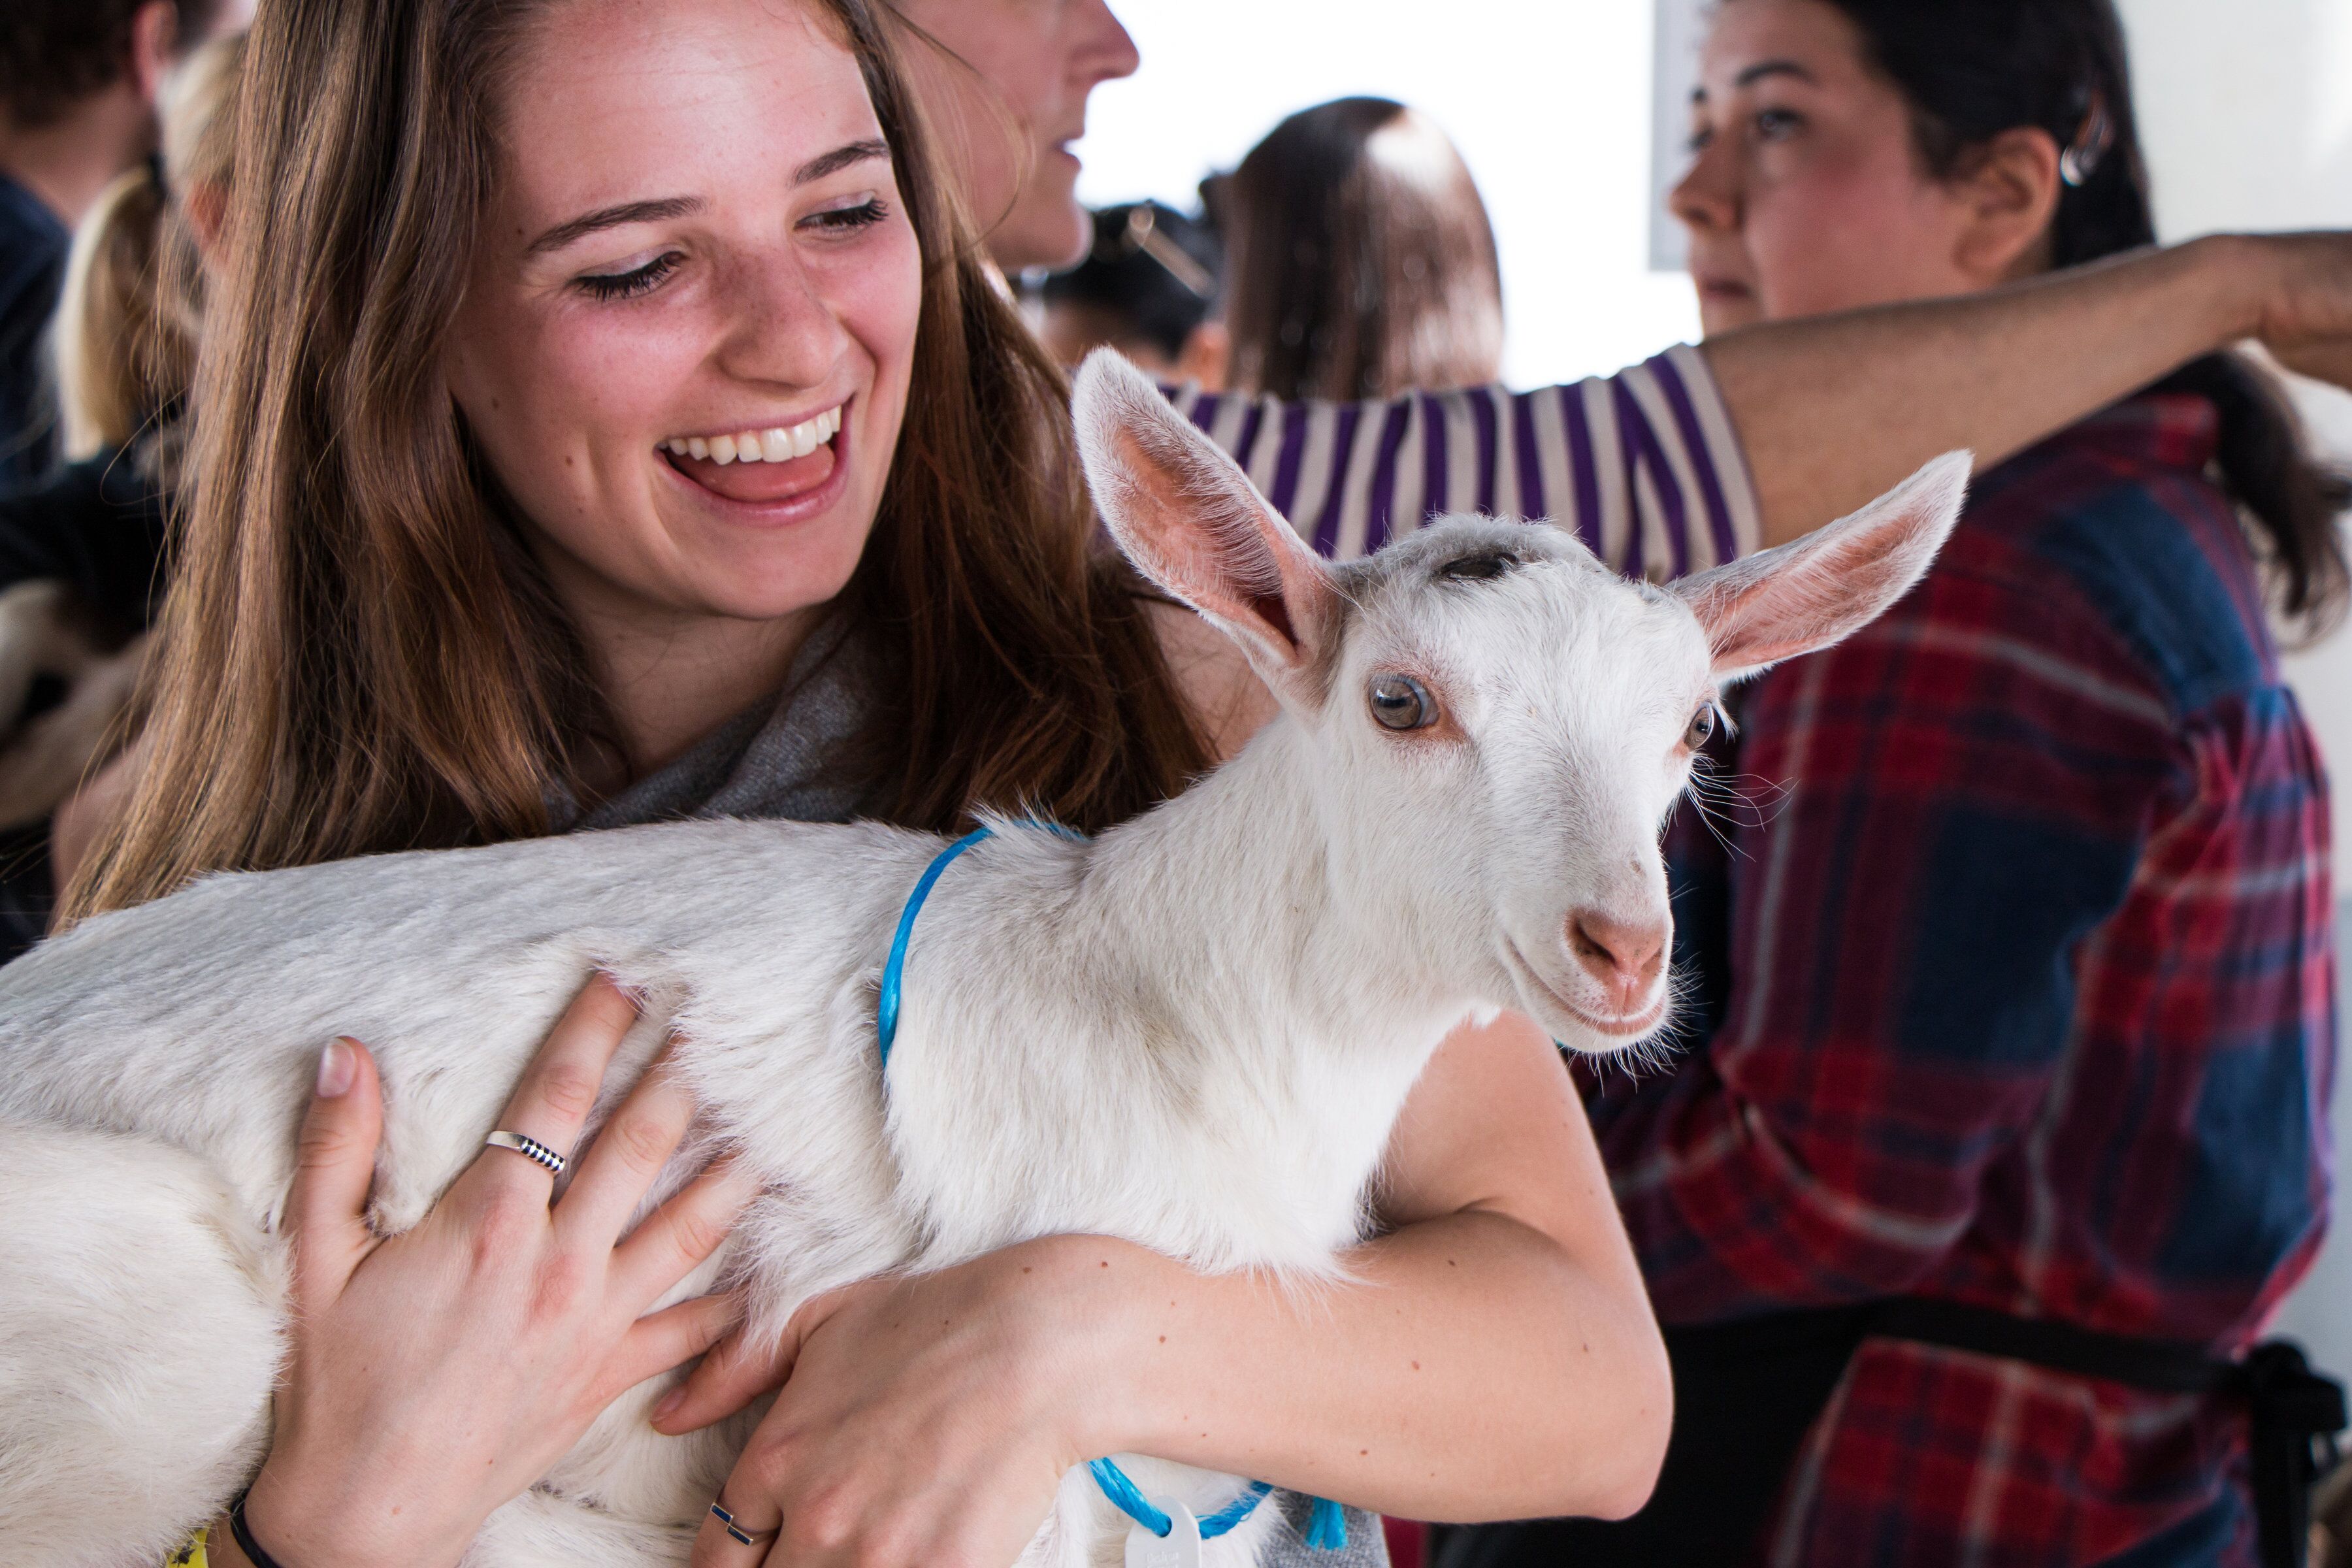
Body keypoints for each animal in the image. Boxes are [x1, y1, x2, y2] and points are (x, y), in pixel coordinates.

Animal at [0, 350, 1968, 1568]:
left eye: (1696, 724)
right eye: (1402, 701)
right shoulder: (1018, 1490)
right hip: (157, 1331)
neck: (1169, 1006)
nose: (1620, 950)